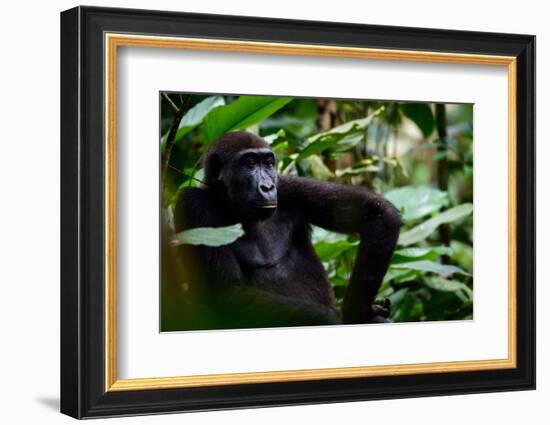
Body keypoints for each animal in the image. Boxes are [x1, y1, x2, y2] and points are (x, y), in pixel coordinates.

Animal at [175, 132, 404, 328]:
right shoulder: (193, 205)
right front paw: (341, 317)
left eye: (268, 163)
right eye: (249, 163)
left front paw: (358, 309)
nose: (268, 187)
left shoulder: (288, 187)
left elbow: (375, 211)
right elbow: (228, 293)